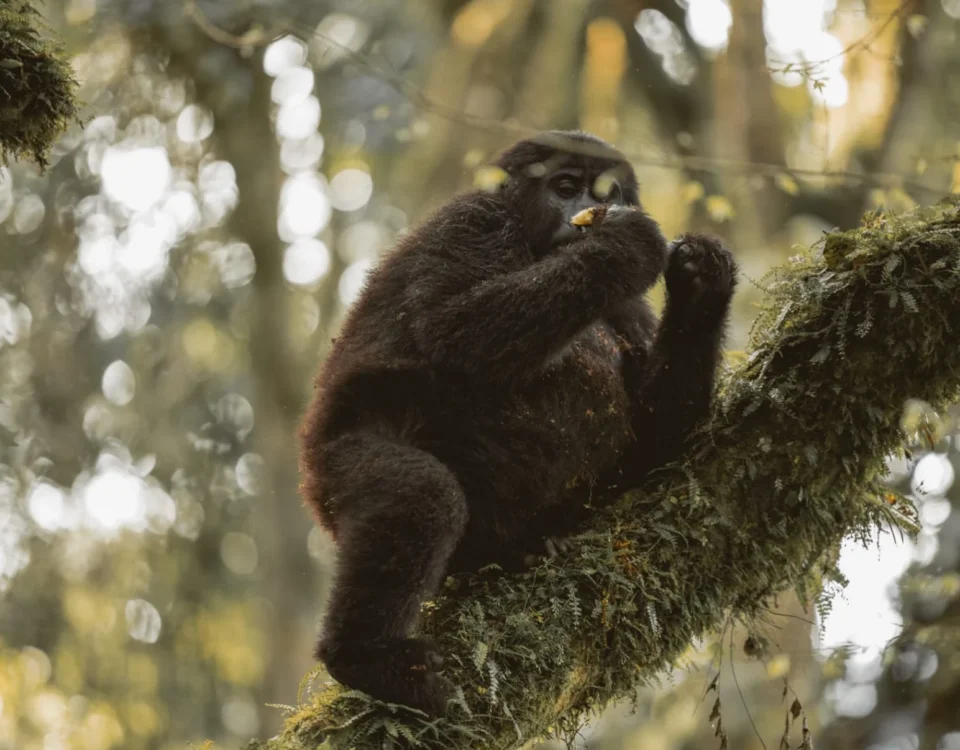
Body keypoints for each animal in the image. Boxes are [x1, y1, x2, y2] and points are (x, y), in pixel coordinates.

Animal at [298, 130, 737, 715]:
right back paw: (365, 657)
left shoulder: (630, 310)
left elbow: (652, 435)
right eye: (566, 187)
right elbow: (455, 328)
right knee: (420, 492)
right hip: (330, 464)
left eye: (607, 192)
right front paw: (623, 247)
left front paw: (703, 283)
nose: (585, 211)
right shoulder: (469, 221)